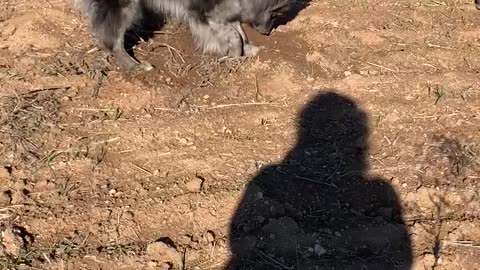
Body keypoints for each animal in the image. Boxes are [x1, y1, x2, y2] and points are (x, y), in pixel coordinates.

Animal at [73, 0, 294, 70]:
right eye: (276, 13)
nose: (268, 33)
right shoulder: (203, 10)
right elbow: (232, 33)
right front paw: (234, 55)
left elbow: (237, 29)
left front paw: (246, 49)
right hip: (123, 6)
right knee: (115, 37)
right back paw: (133, 65)